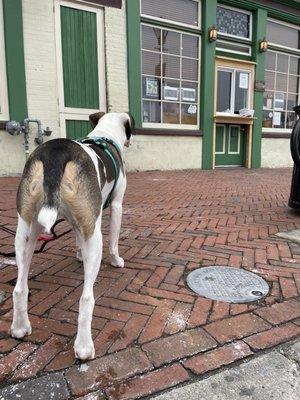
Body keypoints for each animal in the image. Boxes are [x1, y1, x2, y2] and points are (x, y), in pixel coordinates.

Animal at [9, 111, 134, 360]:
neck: (104, 135)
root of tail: (56, 151)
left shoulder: (79, 222)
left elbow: (77, 237)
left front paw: (78, 254)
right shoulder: (115, 206)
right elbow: (115, 241)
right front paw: (117, 261)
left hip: (26, 231)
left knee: (19, 288)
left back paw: (20, 328)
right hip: (95, 238)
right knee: (86, 298)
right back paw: (84, 347)